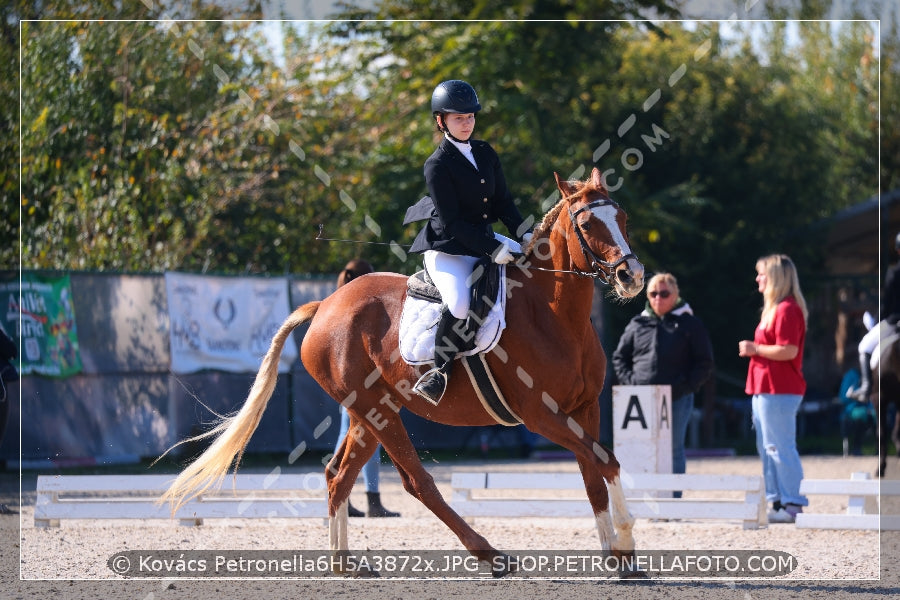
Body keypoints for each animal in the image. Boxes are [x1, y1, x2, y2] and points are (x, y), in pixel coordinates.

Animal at [158, 168, 644, 576]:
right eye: (588, 225)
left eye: (621, 216)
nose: (632, 276)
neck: (555, 315)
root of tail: (325, 305)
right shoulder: (540, 415)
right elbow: (606, 460)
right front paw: (624, 541)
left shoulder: (584, 410)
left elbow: (594, 473)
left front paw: (617, 559)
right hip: (380, 413)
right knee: (417, 483)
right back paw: (491, 555)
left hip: (368, 415)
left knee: (338, 474)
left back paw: (345, 564)